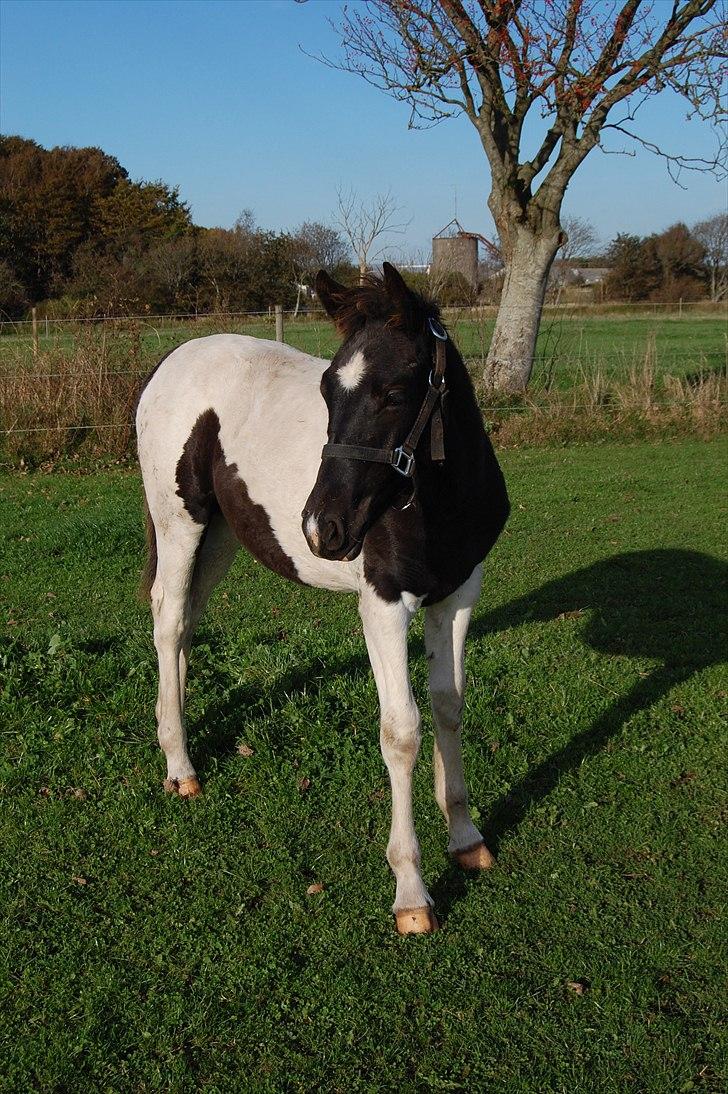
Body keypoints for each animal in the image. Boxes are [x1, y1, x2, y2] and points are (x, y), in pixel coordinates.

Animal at [137, 264, 510, 932]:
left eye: (395, 391)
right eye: (328, 390)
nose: (321, 529)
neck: (437, 506)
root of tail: (167, 364)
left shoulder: (459, 594)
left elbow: (448, 706)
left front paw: (466, 839)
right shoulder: (383, 606)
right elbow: (402, 730)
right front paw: (411, 892)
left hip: (221, 535)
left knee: (185, 624)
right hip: (181, 524)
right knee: (169, 619)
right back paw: (180, 766)